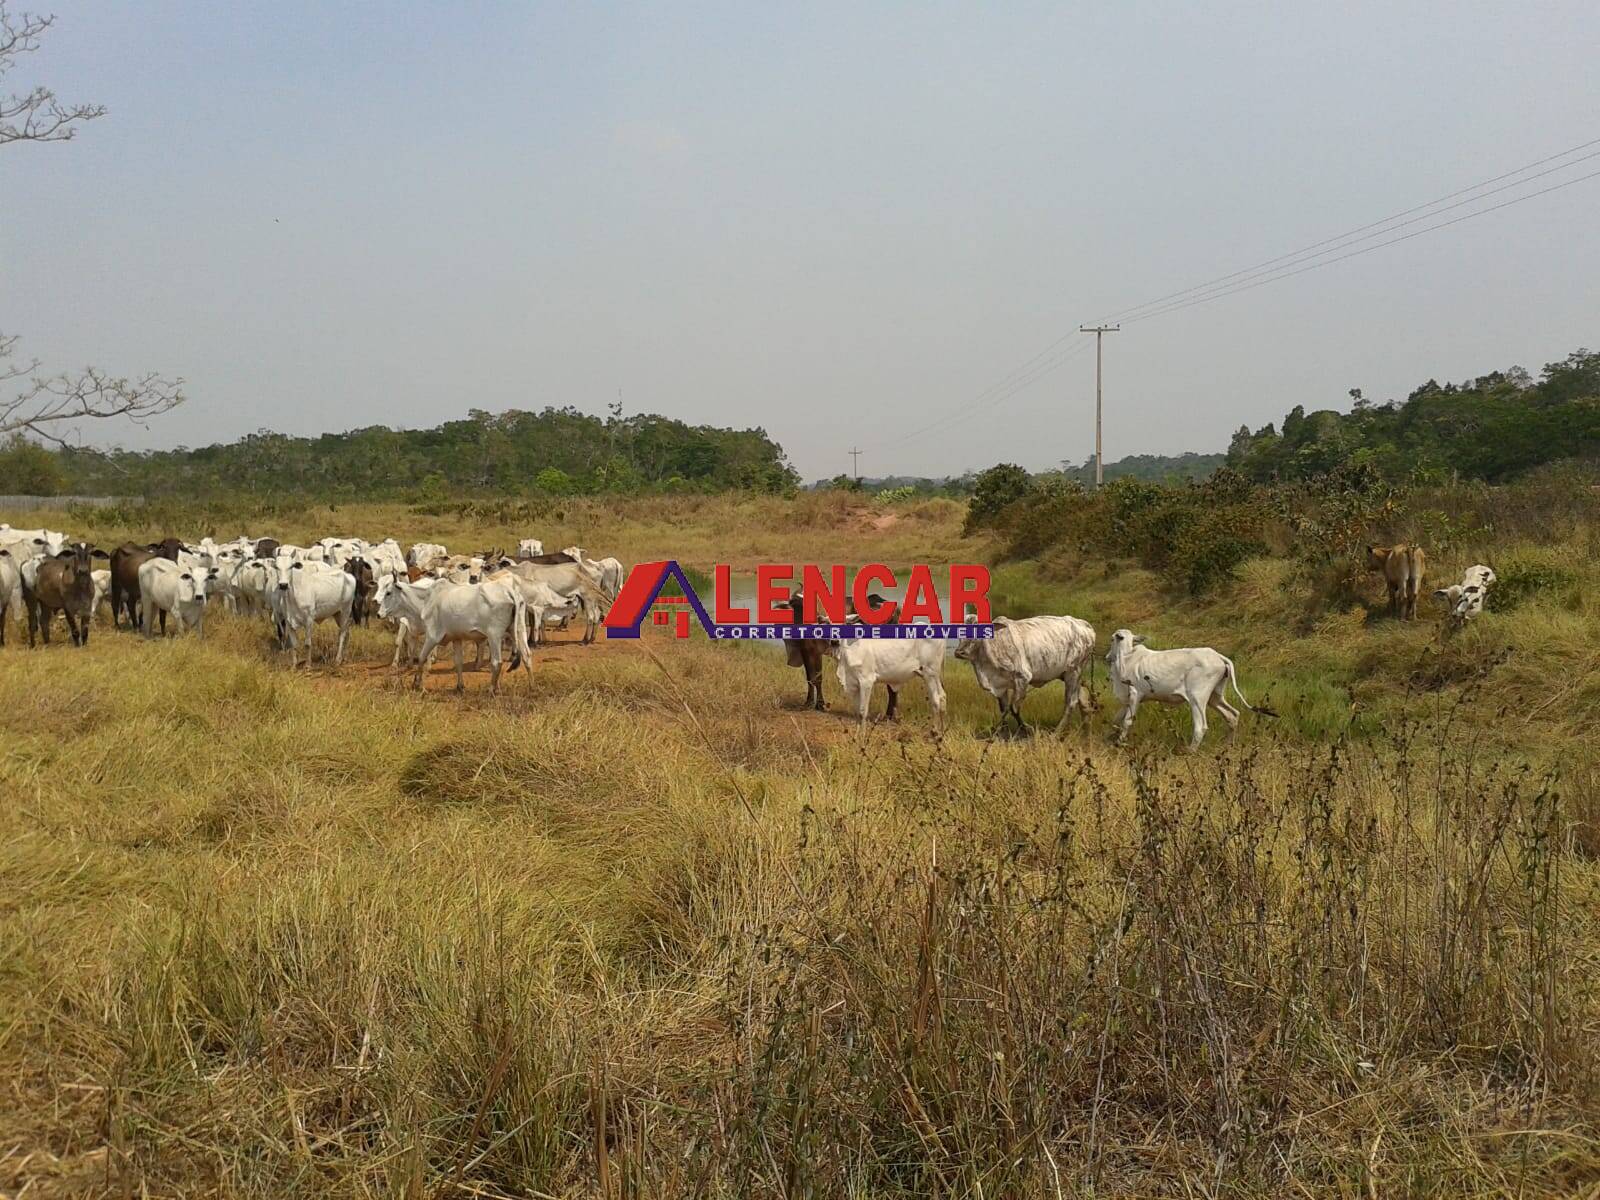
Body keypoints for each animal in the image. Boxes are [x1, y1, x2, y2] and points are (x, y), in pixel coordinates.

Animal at [947, 620, 1100, 732]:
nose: (960, 652)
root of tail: (1086, 626)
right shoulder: (1000, 686)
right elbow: (1004, 709)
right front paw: (1001, 730)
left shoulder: (1022, 679)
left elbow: (1014, 708)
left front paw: (1027, 728)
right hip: (1070, 675)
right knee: (1084, 701)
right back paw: (1084, 731)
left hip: (1073, 672)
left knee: (1071, 702)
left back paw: (1055, 733)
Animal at [1107, 630, 1267, 752]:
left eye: (1112, 639)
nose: (1107, 657)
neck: (1127, 658)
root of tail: (1218, 656)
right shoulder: (1127, 700)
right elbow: (1116, 719)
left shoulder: (1135, 695)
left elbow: (1126, 721)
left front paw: (1119, 743)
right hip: (1215, 697)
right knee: (1232, 715)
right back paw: (1228, 745)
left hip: (1197, 698)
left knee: (1201, 727)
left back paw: (1189, 751)